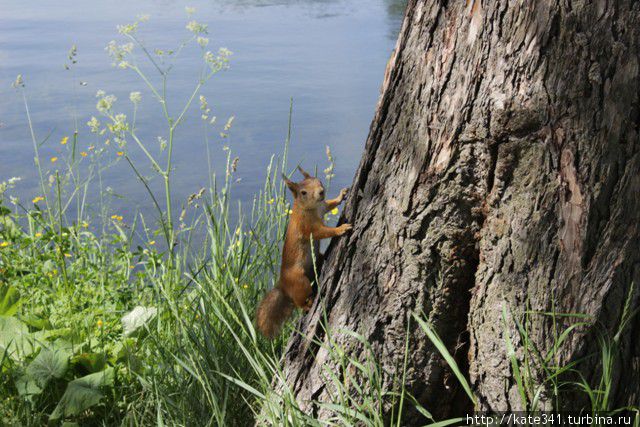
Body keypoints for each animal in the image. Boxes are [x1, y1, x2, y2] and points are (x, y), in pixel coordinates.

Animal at [256, 166, 352, 340]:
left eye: (318, 180)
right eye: (303, 192)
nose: (321, 191)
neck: (311, 208)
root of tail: (284, 285)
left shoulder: (323, 207)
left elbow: (330, 204)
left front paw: (341, 195)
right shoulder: (308, 227)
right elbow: (323, 232)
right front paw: (340, 229)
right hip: (300, 282)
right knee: (299, 302)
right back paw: (308, 305)